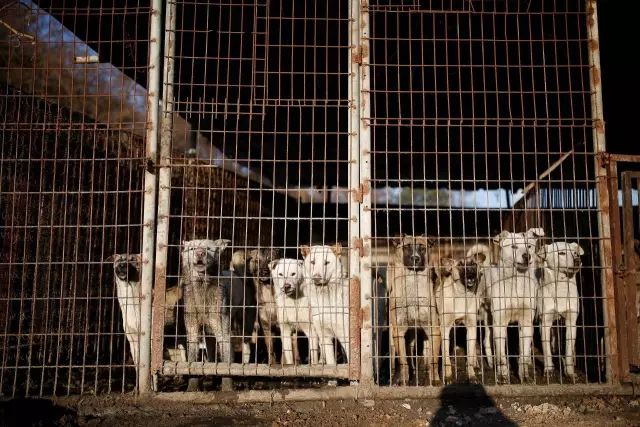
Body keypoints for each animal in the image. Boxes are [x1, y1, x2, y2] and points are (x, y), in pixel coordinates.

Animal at [384, 236, 440, 386]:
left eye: (422, 247)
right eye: (407, 247)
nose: (416, 258)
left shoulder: (433, 329)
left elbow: (433, 360)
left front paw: (434, 379)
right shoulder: (399, 330)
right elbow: (403, 360)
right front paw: (403, 380)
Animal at [482, 229, 544, 382]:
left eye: (529, 246)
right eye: (514, 246)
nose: (527, 256)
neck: (516, 281)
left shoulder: (526, 322)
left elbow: (523, 354)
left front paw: (524, 376)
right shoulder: (499, 323)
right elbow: (502, 356)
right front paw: (503, 376)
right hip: (486, 318)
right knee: (487, 341)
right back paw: (491, 364)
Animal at [536, 241, 584, 382]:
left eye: (575, 253)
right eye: (561, 253)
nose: (577, 260)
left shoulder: (571, 323)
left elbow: (568, 351)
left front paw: (570, 373)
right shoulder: (544, 323)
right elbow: (546, 351)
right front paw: (549, 371)